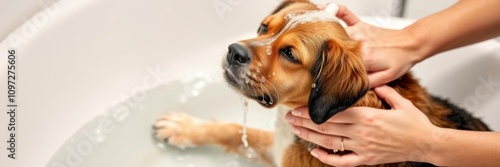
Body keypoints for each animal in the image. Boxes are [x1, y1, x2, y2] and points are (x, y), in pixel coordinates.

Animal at [154, 0, 490, 166]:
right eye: (264, 27)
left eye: (289, 54)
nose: (233, 51)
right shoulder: (281, 148)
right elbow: (235, 130)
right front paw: (185, 127)